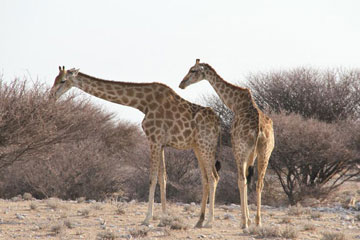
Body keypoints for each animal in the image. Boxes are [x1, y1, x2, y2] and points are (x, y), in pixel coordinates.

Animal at [50, 66, 219, 228]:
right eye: (55, 79)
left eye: (63, 80)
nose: (52, 95)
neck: (143, 103)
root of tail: (218, 125)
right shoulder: (161, 143)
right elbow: (163, 178)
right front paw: (164, 218)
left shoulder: (154, 140)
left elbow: (152, 178)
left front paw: (147, 218)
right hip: (198, 147)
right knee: (206, 178)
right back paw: (199, 221)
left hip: (205, 145)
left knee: (212, 177)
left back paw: (209, 221)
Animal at [180, 59, 276, 230]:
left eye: (193, 70)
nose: (181, 84)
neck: (235, 103)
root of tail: (259, 129)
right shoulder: (253, 153)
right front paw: (251, 220)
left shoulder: (238, 147)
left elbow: (242, 180)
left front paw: (246, 220)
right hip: (266, 151)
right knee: (259, 182)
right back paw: (258, 222)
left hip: (240, 149)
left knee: (241, 180)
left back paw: (243, 223)